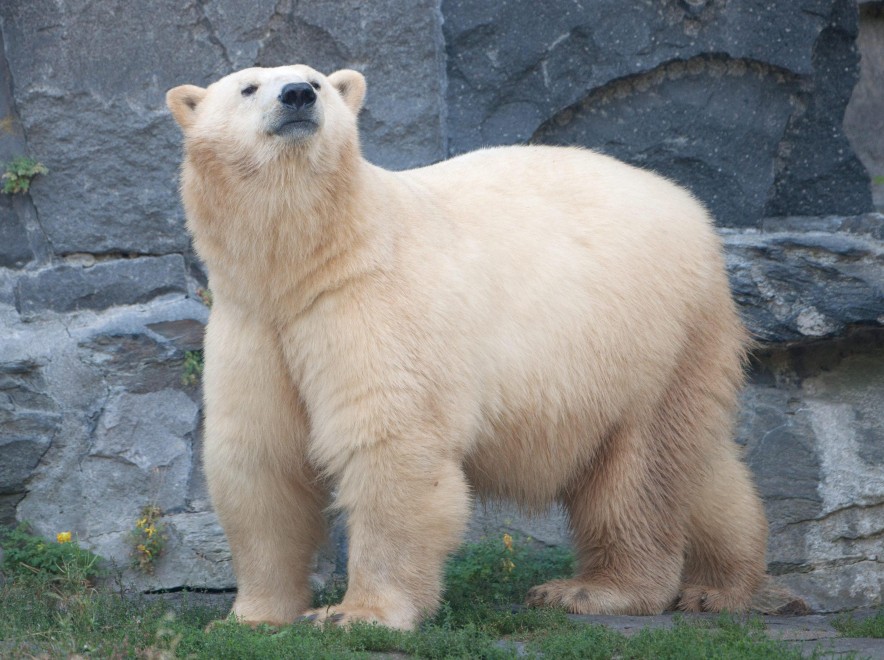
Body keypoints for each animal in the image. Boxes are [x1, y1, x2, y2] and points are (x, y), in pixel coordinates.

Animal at [166, 64, 768, 631]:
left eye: (316, 80)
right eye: (248, 87)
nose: (297, 96)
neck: (309, 261)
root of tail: (692, 209)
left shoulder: (375, 304)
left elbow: (391, 446)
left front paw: (357, 613)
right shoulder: (253, 322)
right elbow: (259, 459)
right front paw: (252, 615)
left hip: (654, 336)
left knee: (640, 471)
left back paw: (593, 590)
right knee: (699, 466)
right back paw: (720, 586)